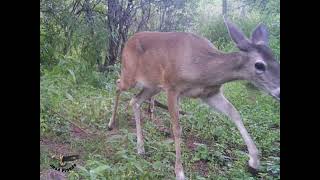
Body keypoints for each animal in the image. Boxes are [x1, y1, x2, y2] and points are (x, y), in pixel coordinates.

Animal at [107, 17, 280, 180]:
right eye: (259, 65)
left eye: (276, 59)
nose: (279, 91)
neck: (202, 68)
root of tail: (128, 40)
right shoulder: (172, 88)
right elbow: (176, 129)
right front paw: (179, 172)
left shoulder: (210, 93)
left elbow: (234, 112)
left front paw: (254, 160)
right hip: (130, 75)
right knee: (117, 84)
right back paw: (111, 123)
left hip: (153, 85)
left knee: (135, 100)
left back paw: (140, 147)